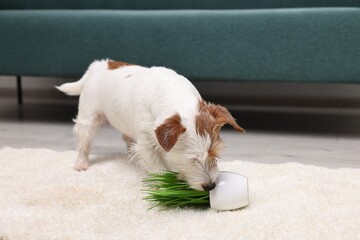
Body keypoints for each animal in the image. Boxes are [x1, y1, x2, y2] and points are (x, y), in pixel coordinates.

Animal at [57, 60, 245, 191]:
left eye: (215, 154)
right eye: (191, 159)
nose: (210, 186)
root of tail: (99, 65)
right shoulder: (146, 144)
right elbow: (156, 167)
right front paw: (164, 185)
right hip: (87, 117)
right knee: (84, 141)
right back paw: (81, 163)